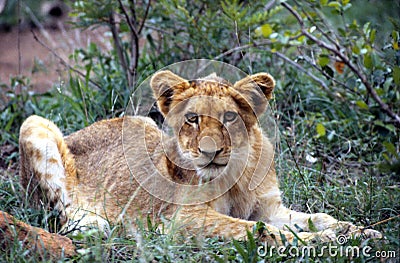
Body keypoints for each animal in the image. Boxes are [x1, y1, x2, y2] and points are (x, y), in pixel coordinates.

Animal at [19, 70, 382, 245]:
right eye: (192, 119)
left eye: (229, 117)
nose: (210, 151)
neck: (237, 176)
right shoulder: (183, 219)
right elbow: (257, 230)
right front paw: (322, 241)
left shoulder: (268, 208)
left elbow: (317, 217)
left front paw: (360, 232)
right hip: (34, 124)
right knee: (61, 216)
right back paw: (100, 226)